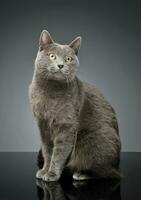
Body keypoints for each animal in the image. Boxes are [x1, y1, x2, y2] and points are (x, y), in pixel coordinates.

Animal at [28, 30, 121, 182]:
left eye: (68, 59)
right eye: (52, 56)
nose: (60, 65)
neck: (50, 91)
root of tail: (117, 165)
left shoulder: (66, 126)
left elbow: (59, 152)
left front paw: (52, 174)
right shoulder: (43, 125)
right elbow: (48, 151)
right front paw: (44, 171)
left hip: (93, 140)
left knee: (107, 172)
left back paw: (82, 174)